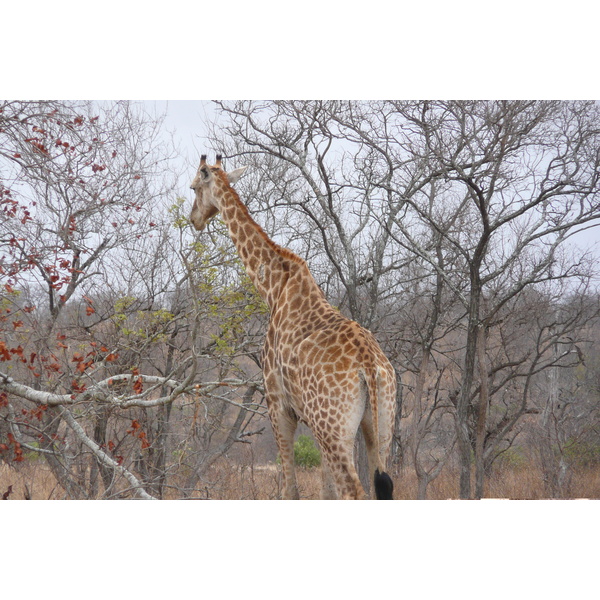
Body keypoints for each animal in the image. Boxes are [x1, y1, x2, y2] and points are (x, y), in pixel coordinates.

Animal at [190, 156, 396, 502]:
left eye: (193, 187)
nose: (194, 219)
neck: (272, 287)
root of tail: (369, 365)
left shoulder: (278, 404)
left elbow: (291, 490)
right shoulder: (312, 422)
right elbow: (325, 492)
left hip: (335, 427)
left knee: (354, 491)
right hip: (379, 424)